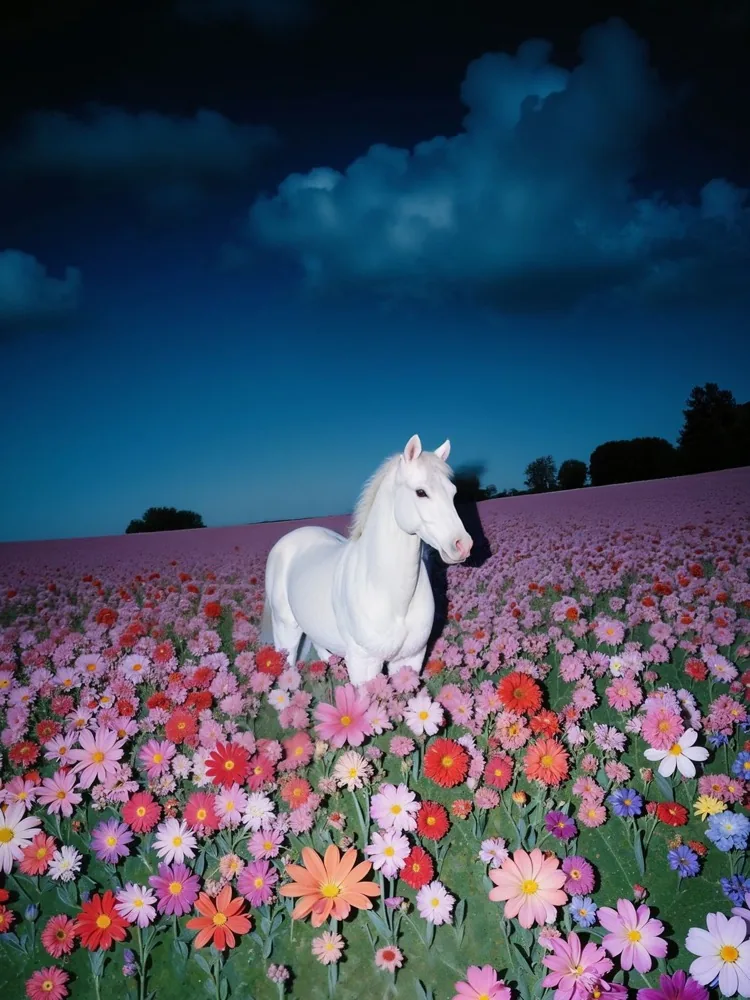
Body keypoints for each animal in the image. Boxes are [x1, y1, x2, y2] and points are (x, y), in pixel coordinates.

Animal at [260, 434, 474, 688]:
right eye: (421, 492)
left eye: (452, 493)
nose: (463, 545)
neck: (390, 595)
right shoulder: (364, 664)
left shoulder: (410, 659)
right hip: (286, 630)